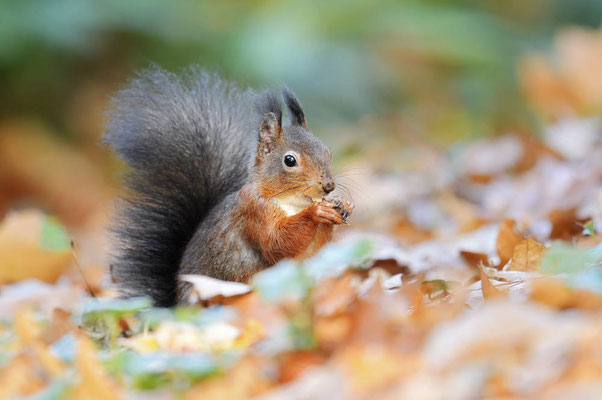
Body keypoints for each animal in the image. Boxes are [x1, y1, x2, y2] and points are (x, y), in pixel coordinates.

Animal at [103, 66, 352, 306]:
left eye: (326, 151)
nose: (329, 185)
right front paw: (317, 211)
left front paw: (342, 205)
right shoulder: (253, 212)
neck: (291, 202)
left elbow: (311, 251)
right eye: (289, 160)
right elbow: (276, 244)